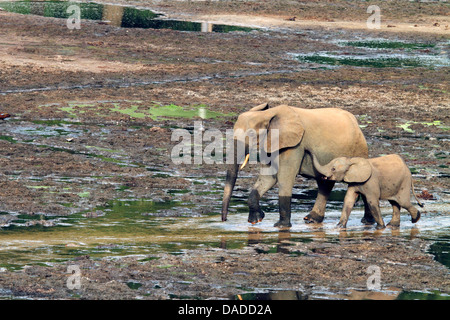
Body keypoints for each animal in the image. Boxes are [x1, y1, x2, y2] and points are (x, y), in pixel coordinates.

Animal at [221, 103, 370, 228]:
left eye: (252, 134)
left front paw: (281, 226)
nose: (224, 220)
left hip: (359, 149)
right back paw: (311, 220)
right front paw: (256, 220)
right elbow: (267, 178)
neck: (268, 114)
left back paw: (366, 222)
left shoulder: (295, 145)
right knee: (324, 184)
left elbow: (284, 177)